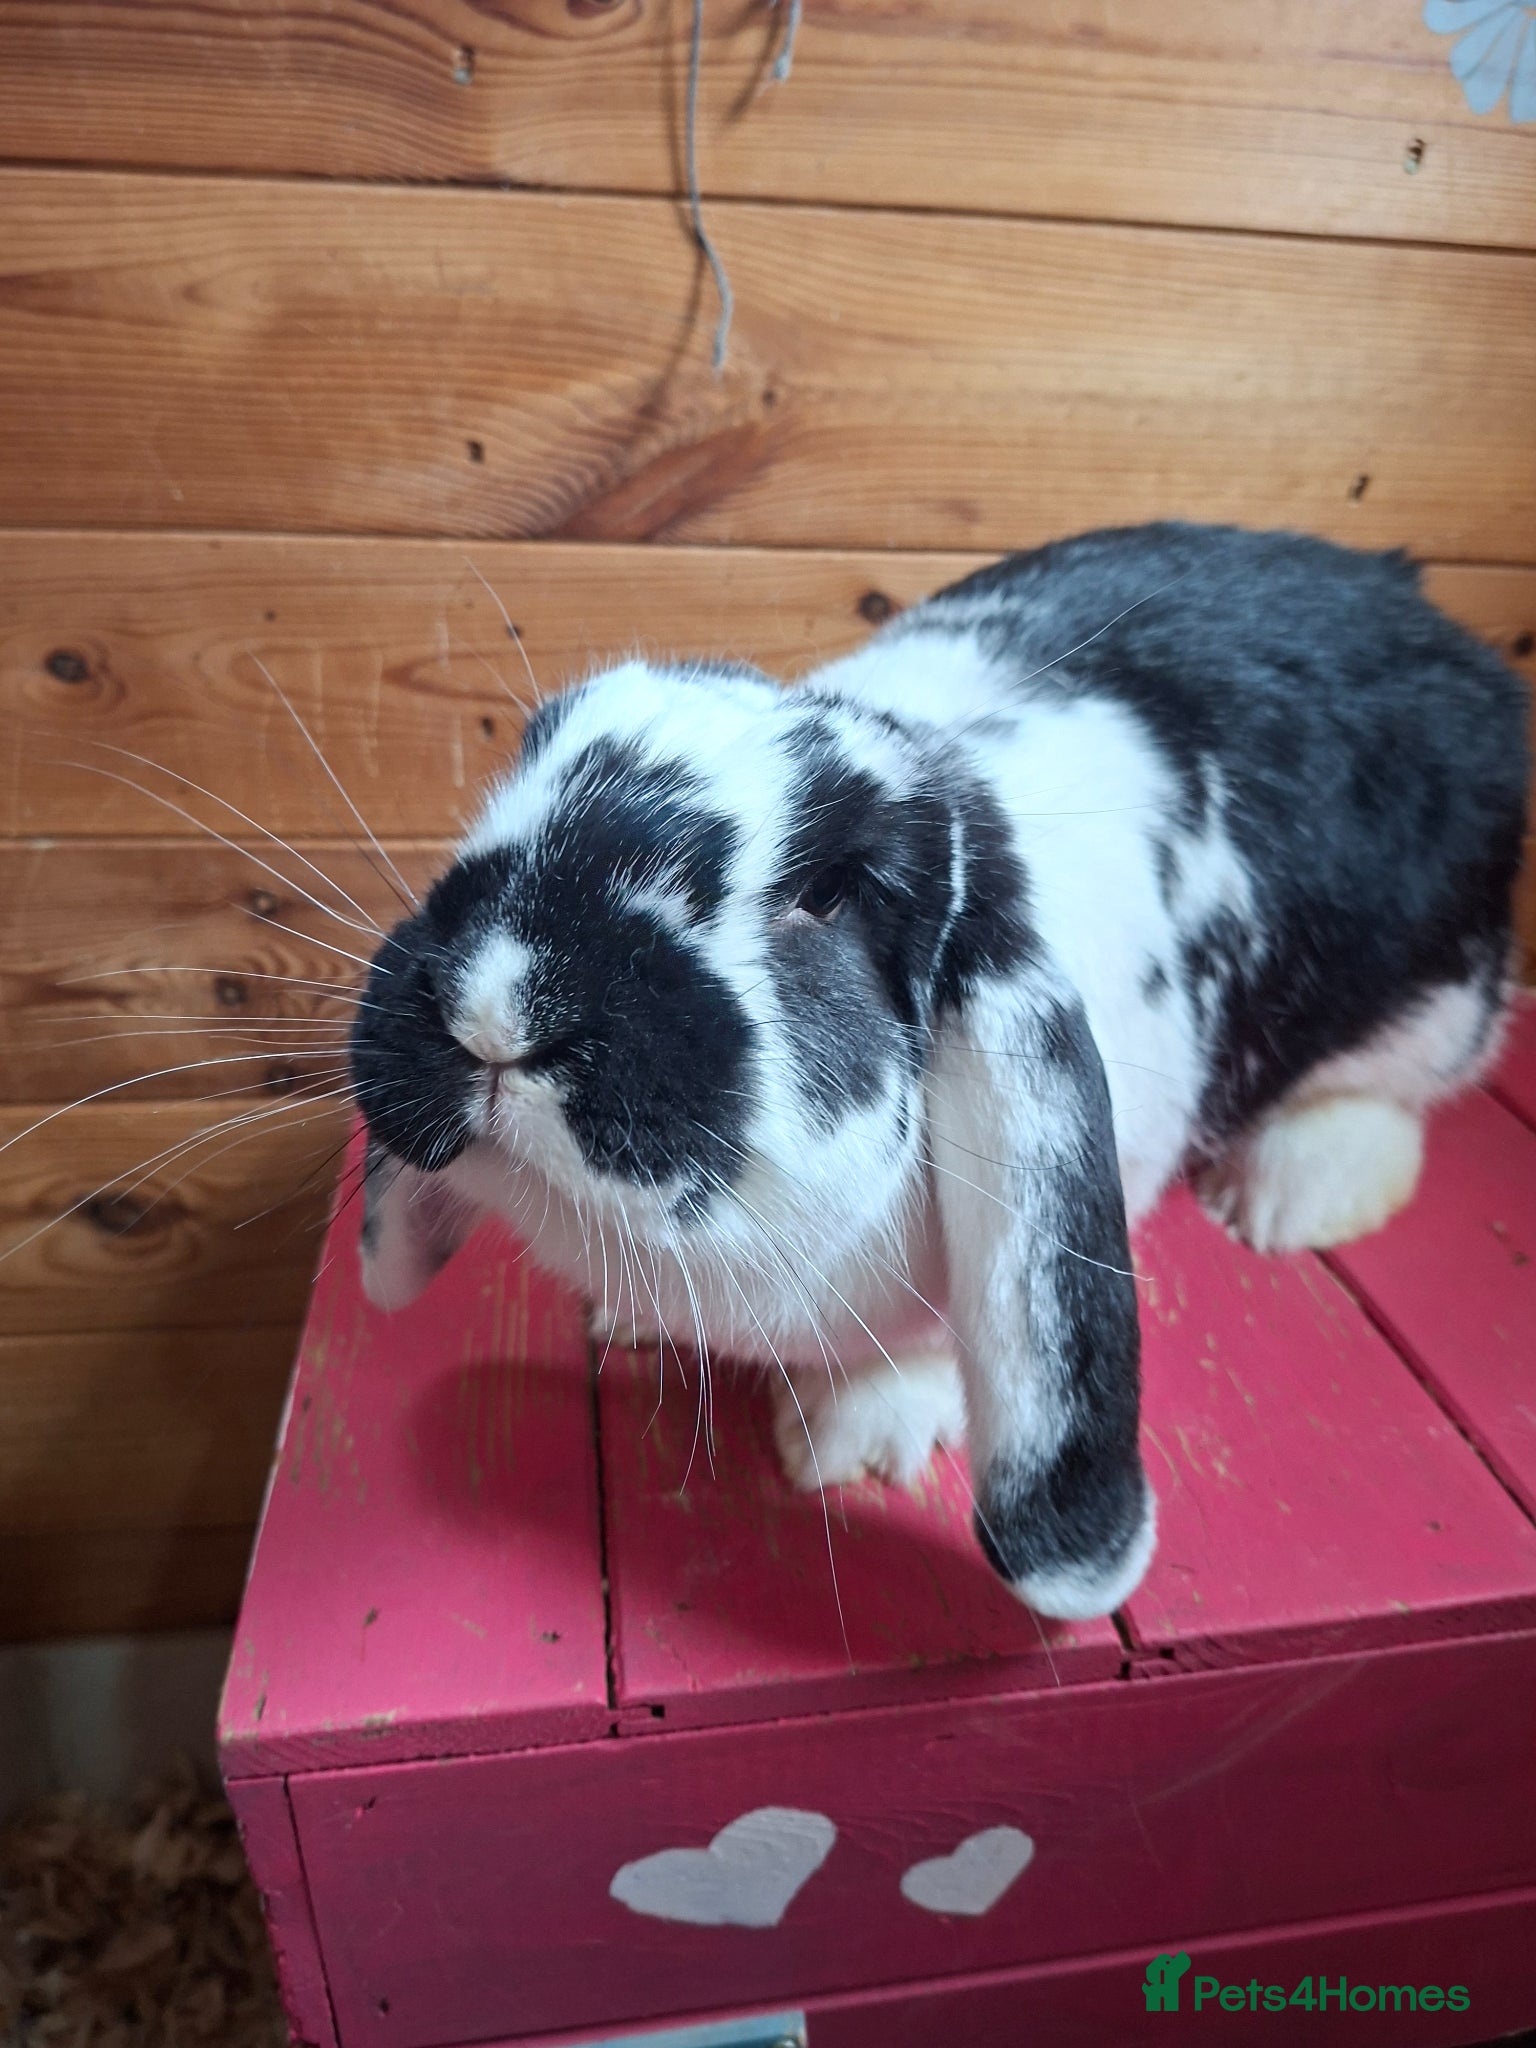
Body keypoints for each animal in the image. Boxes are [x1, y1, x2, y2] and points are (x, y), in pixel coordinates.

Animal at [349, 522, 1530, 1621]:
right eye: (519, 777)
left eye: (827, 894)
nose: (490, 1005)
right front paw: (627, 1319)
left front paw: (851, 1443)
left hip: (1428, 1002)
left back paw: (1289, 1197)